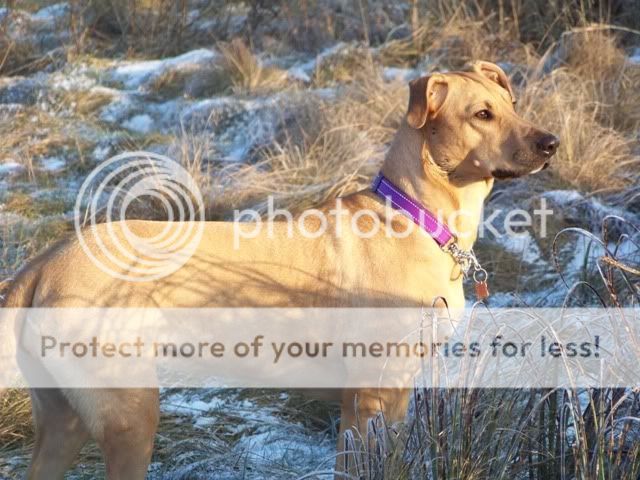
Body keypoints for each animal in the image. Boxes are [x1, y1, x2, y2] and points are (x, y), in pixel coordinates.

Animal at [3, 61, 558, 479]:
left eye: (511, 105)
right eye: (482, 114)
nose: (550, 143)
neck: (417, 215)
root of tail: (45, 263)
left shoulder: (389, 398)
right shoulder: (371, 398)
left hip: (64, 422)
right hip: (129, 416)